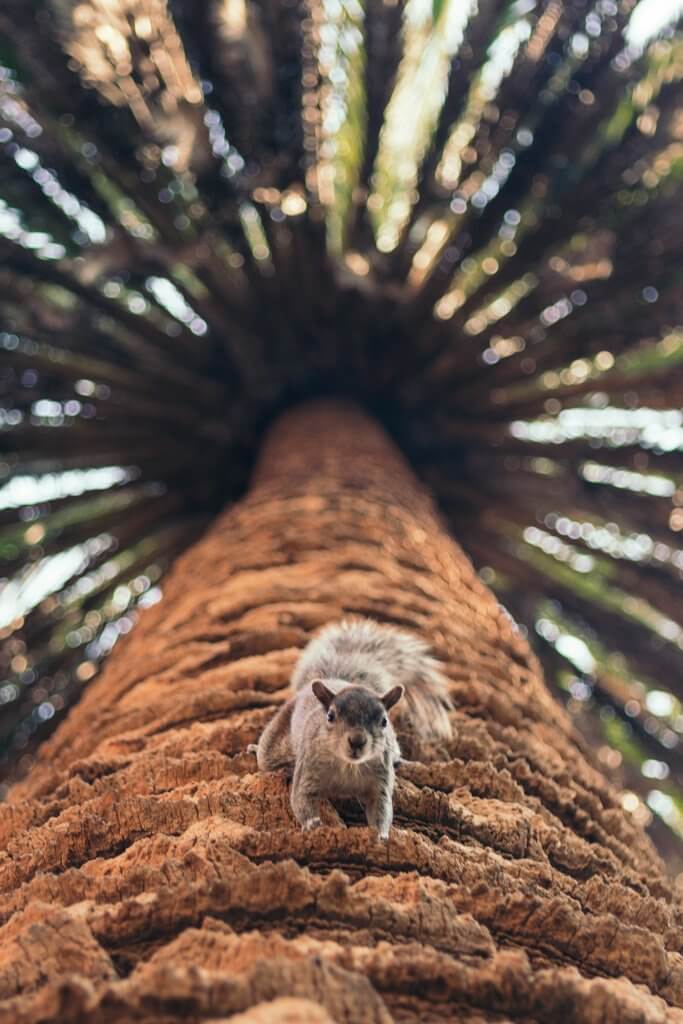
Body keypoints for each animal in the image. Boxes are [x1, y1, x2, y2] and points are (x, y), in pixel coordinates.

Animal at [248, 614, 450, 839]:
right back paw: (256, 748)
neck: (348, 766)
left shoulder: (380, 781)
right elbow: (301, 797)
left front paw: (381, 835)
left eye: (384, 721)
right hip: (277, 738)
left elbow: (382, 808)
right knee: (267, 757)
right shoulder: (308, 768)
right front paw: (313, 825)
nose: (357, 741)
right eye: (330, 716)